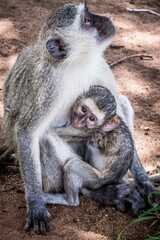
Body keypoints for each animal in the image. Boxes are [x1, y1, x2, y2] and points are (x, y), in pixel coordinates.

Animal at [43, 86, 158, 214]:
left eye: (91, 118)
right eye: (84, 109)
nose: (78, 121)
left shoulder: (86, 131)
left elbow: (53, 130)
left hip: (97, 180)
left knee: (73, 166)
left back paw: (70, 201)